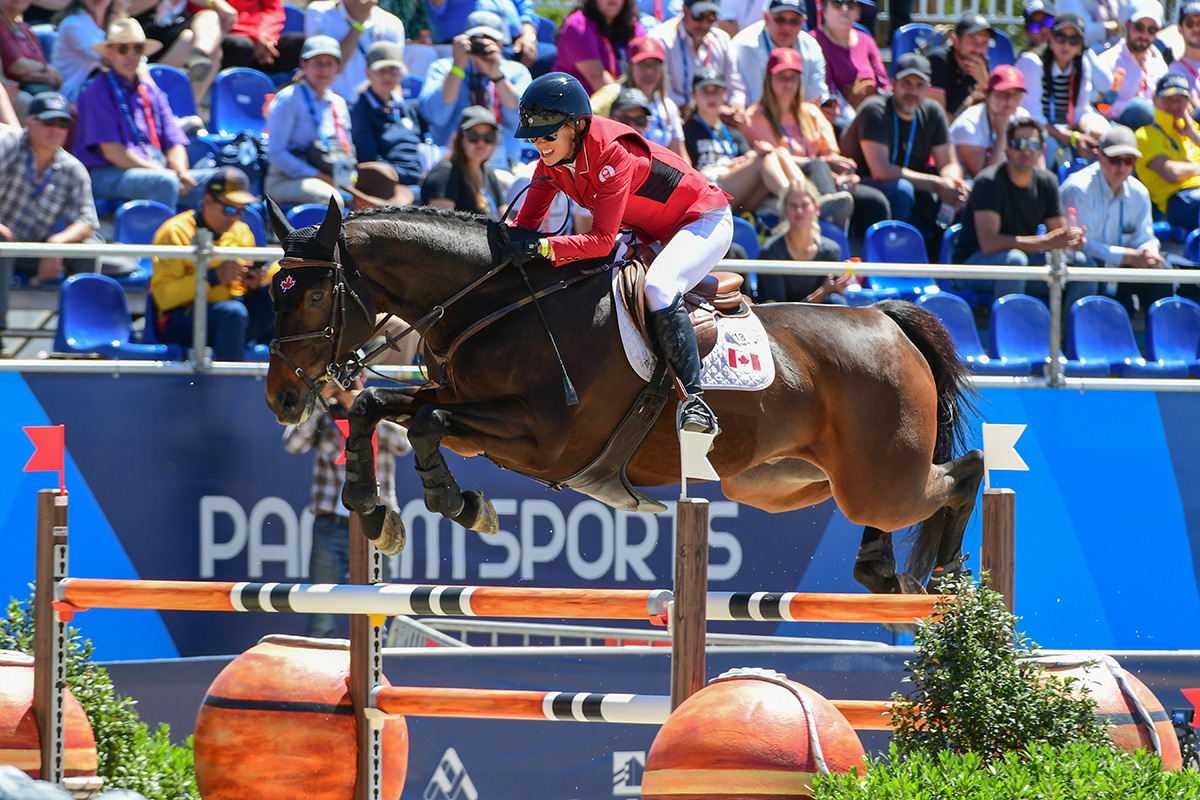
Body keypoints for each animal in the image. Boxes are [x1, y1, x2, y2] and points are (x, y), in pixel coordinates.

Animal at [262, 200, 984, 597]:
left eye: (316, 294)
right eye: (273, 290)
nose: (282, 399)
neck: (497, 303)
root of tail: (887, 321)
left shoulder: (544, 442)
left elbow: (428, 420)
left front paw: (460, 504)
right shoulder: (476, 416)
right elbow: (383, 411)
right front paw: (376, 512)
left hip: (878, 478)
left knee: (963, 473)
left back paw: (945, 580)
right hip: (787, 482)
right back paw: (881, 569)